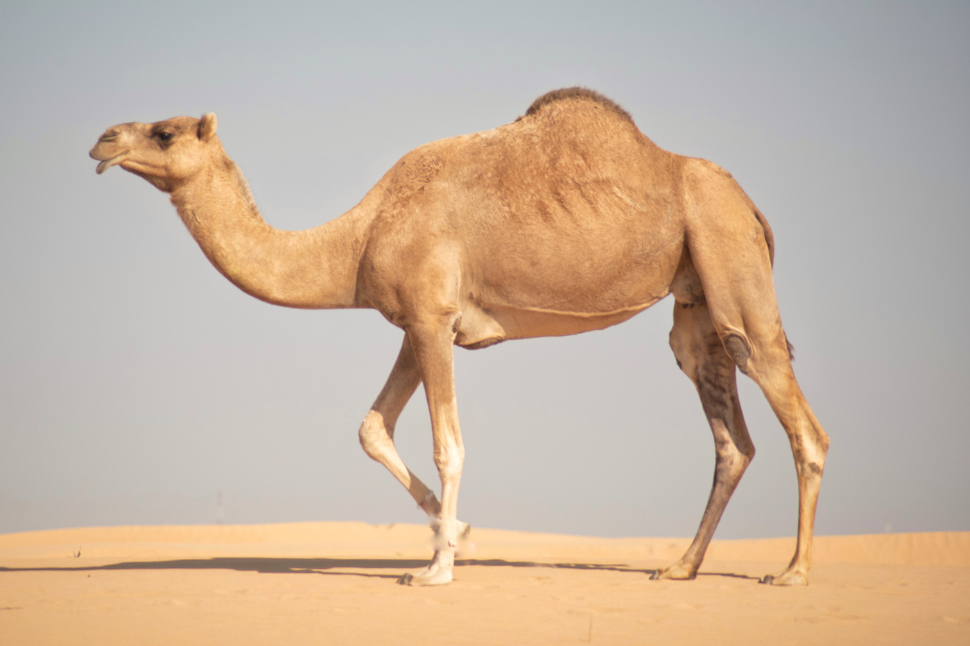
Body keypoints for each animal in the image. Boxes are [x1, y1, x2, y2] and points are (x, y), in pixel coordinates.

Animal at [91, 88, 828, 588]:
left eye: (164, 132)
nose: (102, 140)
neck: (359, 235)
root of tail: (750, 205)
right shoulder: (418, 323)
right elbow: (371, 427)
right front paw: (462, 534)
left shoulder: (430, 318)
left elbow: (448, 445)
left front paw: (436, 568)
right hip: (696, 302)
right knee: (730, 435)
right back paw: (679, 567)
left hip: (728, 254)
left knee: (797, 415)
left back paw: (793, 571)